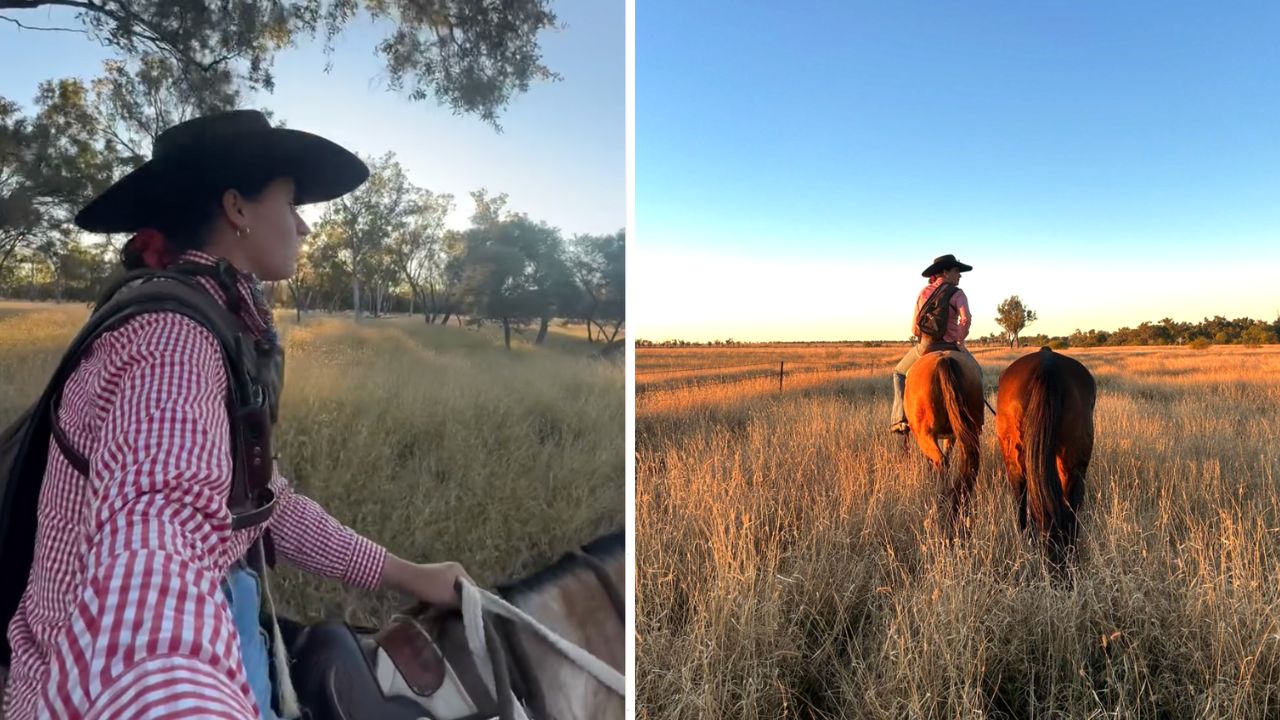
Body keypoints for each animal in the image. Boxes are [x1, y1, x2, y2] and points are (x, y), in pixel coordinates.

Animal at [906, 348, 983, 527]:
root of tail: (944, 360)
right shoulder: (952, 435)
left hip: (925, 435)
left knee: (941, 462)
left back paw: (941, 499)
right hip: (970, 431)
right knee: (968, 464)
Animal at [993, 345, 1095, 568]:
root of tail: (1047, 366)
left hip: (1014, 461)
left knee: (1021, 499)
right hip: (1075, 464)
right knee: (1071, 508)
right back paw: (1069, 553)